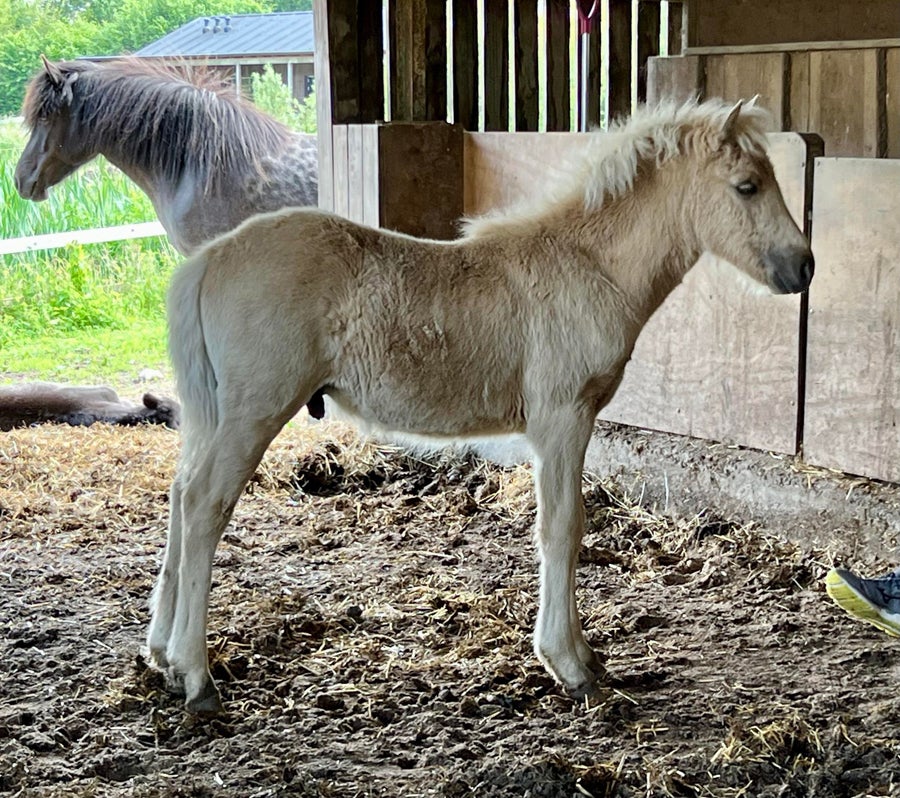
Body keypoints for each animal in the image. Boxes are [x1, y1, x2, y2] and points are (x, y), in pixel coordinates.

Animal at [149, 100, 816, 712]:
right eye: (747, 186)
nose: (804, 267)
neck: (588, 266)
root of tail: (209, 258)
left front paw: (582, 653)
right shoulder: (562, 418)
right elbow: (563, 527)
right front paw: (569, 663)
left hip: (214, 415)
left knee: (181, 495)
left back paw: (159, 653)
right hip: (253, 413)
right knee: (205, 505)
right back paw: (196, 675)